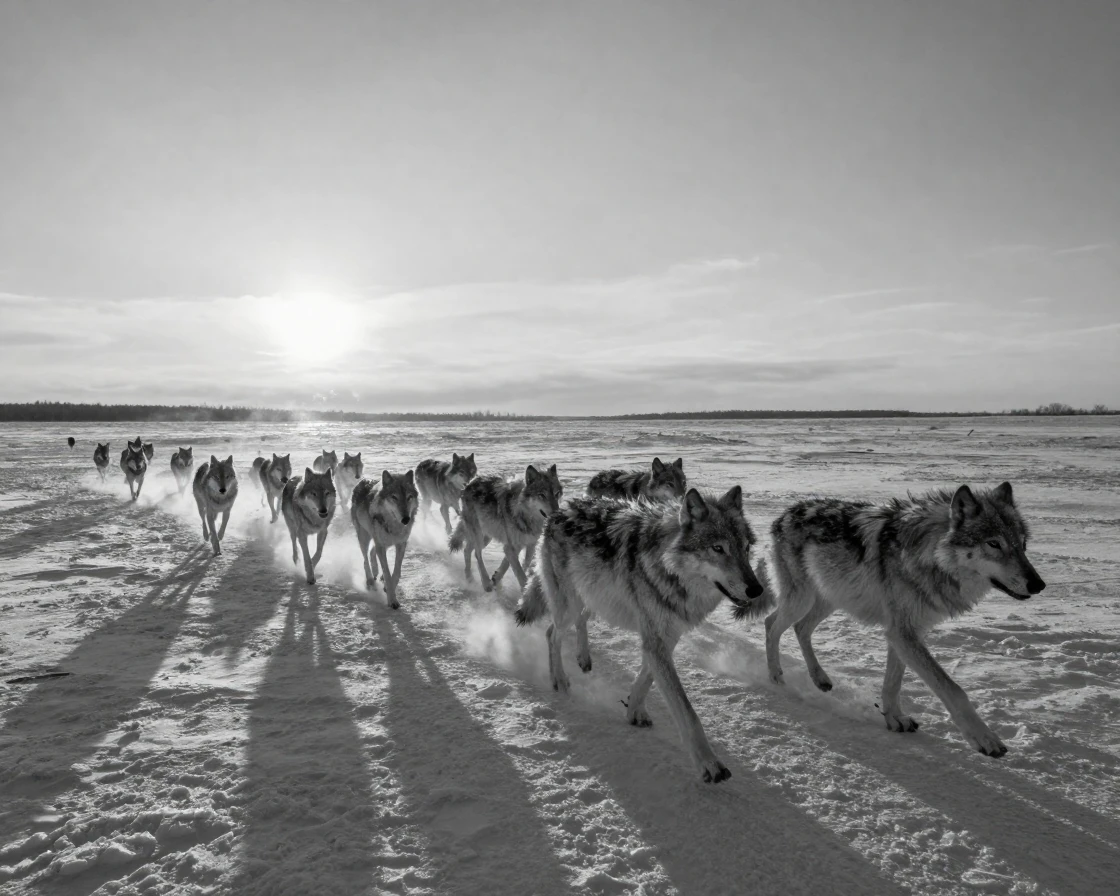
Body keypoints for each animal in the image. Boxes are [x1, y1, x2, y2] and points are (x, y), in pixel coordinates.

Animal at [351, 470, 419, 609]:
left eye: (409, 497)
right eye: (394, 497)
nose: (406, 519)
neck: (395, 527)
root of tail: (362, 480)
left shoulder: (401, 544)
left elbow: (396, 572)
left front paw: (388, 587)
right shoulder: (381, 546)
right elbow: (387, 573)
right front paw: (392, 600)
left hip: (381, 542)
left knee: (372, 552)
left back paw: (376, 571)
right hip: (364, 537)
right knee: (365, 559)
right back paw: (370, 580)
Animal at [514, 486, 768, 783]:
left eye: (745, 548)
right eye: (718, 548)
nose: (757, 589)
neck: (668, 570)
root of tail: (559, 511)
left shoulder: (665, 637)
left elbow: (646, 678)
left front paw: (634, 710)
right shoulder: (656, 639)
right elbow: (687, 712)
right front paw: (710, 764)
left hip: (593, 599)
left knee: (577, 623)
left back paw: (584, 658)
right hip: (570, 604)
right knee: (551, 633)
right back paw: (560, 680)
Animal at [763, 482, 1046, 758]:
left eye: (1022, 545)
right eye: (994, 544)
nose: (1039, 585)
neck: (929, 557)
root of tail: (786, 513)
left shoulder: (904, 633)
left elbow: (893, 683)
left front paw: (894, 719)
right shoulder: (902, 633)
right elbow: (953, 689)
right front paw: (984, 738)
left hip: (830, 598)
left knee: (800, 627)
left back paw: (820, 678)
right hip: (802, 599)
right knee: (771, 624)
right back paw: (776, 676)